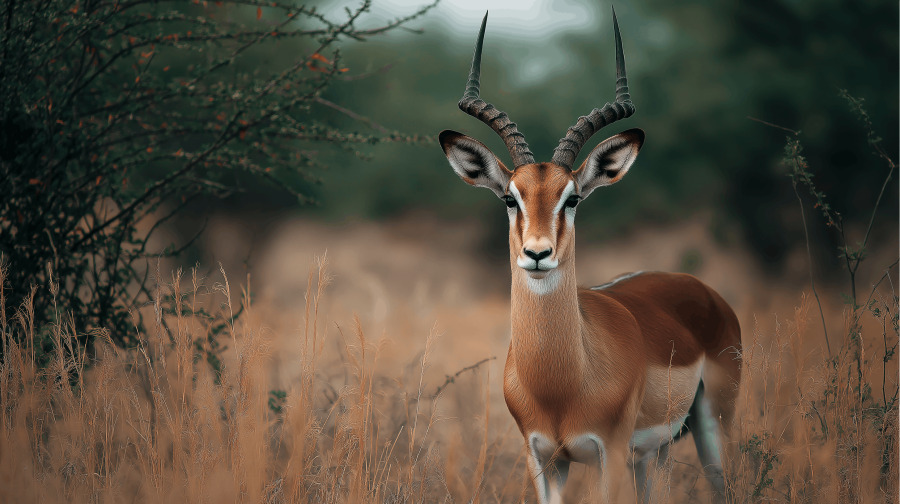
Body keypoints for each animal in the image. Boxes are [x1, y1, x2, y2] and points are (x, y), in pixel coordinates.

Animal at [438, 10, 742, 504]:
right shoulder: (543, 458)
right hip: (654, 454)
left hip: (712, 427)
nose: (537, 253)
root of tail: (697, 287)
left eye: (573, 198)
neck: (562, 386)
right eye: (510, 198)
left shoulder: (609, 452)